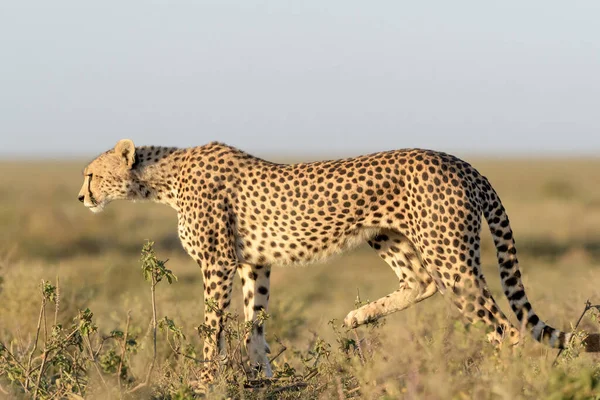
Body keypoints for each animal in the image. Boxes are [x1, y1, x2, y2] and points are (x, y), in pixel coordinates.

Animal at [79, 139, 600, 386]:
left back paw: (494, 377)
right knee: (421, 282)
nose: (81, 196)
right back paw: (358, 316)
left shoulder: (218, 264)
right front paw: (261, 374)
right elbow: (255, 321)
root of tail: (459, 161)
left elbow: (214, 326)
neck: (161, 178)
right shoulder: (253, 264)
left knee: (503, 326)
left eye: (91, 174)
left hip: (449, 253)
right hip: (389, 236)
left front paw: (207, 377)